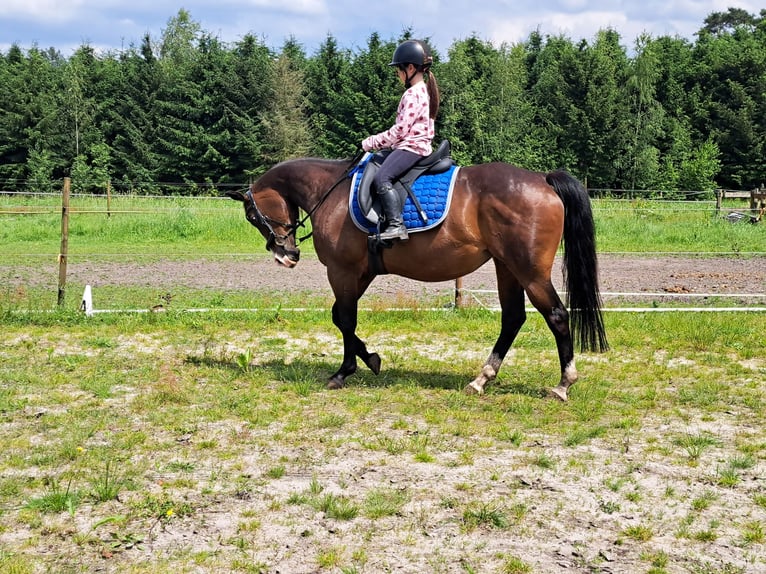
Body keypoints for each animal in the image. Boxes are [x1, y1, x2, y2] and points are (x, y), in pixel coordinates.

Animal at [225, 155, 608, 402]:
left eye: (252, 215)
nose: (286, 255)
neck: (330, 192)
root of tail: (542, 180)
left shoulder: (342, 270)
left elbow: (345, 318)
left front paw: (344, 371)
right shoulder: (361, 271)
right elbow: (340, 317)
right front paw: (370, 359)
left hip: (529, 270)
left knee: (556, 316)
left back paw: (563, 384)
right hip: (507, 267)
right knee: (513, 318)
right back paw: (481, 379)